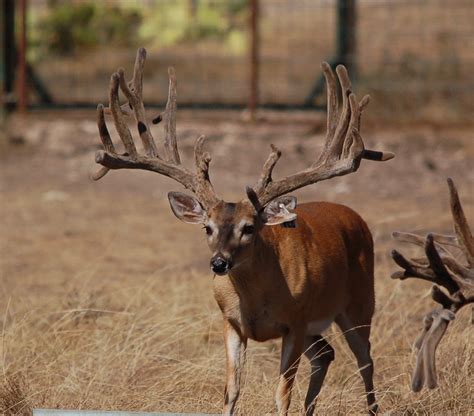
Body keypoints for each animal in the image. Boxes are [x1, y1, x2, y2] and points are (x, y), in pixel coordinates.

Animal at [90, 48, 394, 412]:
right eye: (207, 227)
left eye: (249, 228)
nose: (219, 263)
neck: (257, 299)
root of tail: (353, 215)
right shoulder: (231, 323)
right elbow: (231, 389)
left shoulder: (295, 322)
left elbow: (281, 394)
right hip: (318, 326)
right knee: (326, 354)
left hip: (359, 303)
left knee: (366, 360)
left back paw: (372, 408)